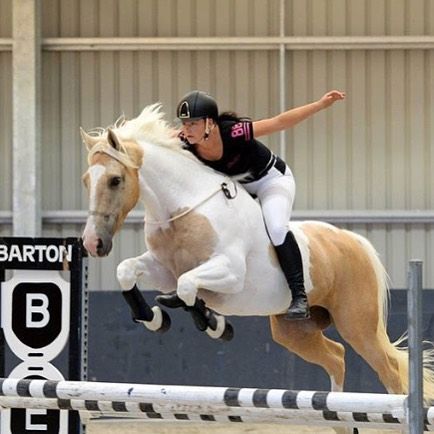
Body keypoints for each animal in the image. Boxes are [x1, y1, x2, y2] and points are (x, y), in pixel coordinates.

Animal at [81, 103, 434, 432]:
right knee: (336, 356)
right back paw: (340, 421)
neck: (185, 207)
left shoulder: (229, 273)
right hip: (294, 332)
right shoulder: (162, 269)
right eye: (86, 181)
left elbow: (187, 285)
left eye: (115, 180)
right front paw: (155, 317)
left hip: (358, 325)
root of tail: (353, 240)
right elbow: (128, 271)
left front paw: (214, 324)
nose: (92, 243)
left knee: (390, 370)